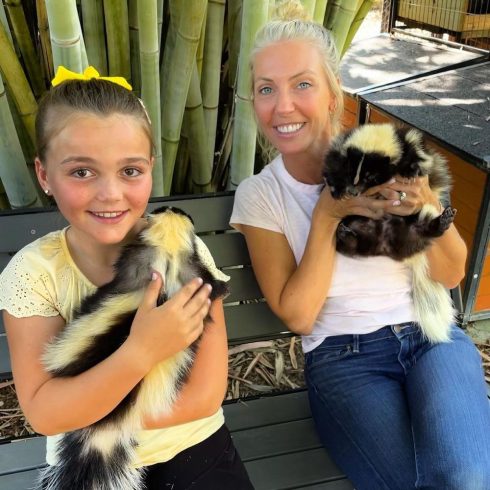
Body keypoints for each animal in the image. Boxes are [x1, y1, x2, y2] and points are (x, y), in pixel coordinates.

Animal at [38, 207, 230, 490]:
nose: (172, 207)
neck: (168, 251)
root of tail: (101, 428)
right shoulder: (159, 265)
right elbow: (213, 283)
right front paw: (225, 288)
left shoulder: (170, 269)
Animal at [324, 122, 458, 342]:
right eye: (351, 171)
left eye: (371, 176)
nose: (353, 191)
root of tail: (387, 242)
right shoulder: (340, 149)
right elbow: (331, 165)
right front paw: (336, 189)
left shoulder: (410, 142)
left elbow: (418, 156)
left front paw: (412, 171)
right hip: (368, 237)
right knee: (355, 244)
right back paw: (346, 235)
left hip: (411, 228)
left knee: (423, 230)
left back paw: (442, 221)